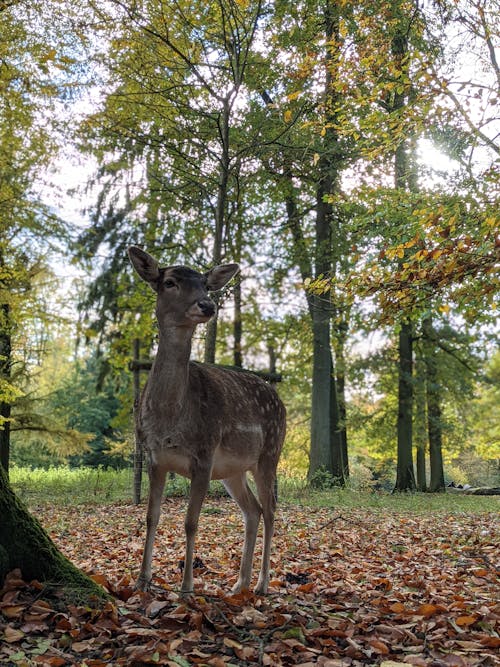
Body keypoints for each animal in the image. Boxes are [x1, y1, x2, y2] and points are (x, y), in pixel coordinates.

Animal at [129, 247, 286, 596]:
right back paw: (239, 583)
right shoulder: (154, 456)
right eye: (170, 282)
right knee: (252, 510)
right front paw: (142, 580)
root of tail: (280, 399)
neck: (170, 418)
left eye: (204, 283)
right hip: (233, 470)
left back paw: (261, 584)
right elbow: (151, 517)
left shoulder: (203, 454)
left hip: (270, 453)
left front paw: (187, 587)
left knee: (271, 509)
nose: (207, 304)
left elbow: (191, 521)